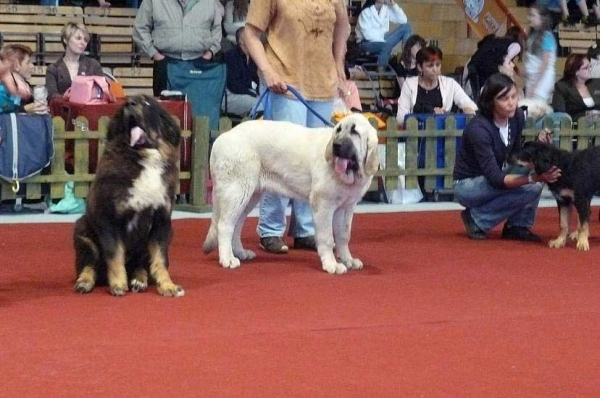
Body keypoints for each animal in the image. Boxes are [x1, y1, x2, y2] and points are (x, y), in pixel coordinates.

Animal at [71, 95, 183, 296]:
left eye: (147, 103)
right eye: (126, 103)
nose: (130, 104)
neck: (143, 158)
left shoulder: (162, 222)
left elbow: (160, 259)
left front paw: (167, 285)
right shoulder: (108, 219)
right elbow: (115, 254)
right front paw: (117, 285)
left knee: (140, 265)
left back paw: (139, 280)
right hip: (83, 231)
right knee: (89, 264)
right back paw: (85, 282)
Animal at [203, 112, 380, 274]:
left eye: (355, 132)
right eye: (339, 130)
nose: (336, 145)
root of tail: (221, 138)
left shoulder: (346, 208)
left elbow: (344, 236)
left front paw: (348, 260)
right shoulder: (324, 205)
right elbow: (327, 238)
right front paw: (331, 264)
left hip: (249, 196)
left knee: (236, 225)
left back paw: (239, 252)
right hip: (237, 192)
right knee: (224, 225)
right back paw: (227, 258)